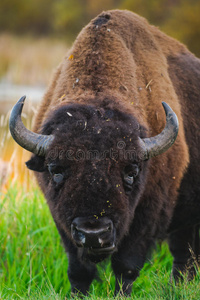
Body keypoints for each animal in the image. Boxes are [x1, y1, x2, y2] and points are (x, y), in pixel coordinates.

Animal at [8, 8, 200, 296]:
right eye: (56, 169)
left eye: (131, 171)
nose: (93, 234)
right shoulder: (61, 219)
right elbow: (79, 269)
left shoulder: (147, 215)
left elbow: (126, 266)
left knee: (183, 255)